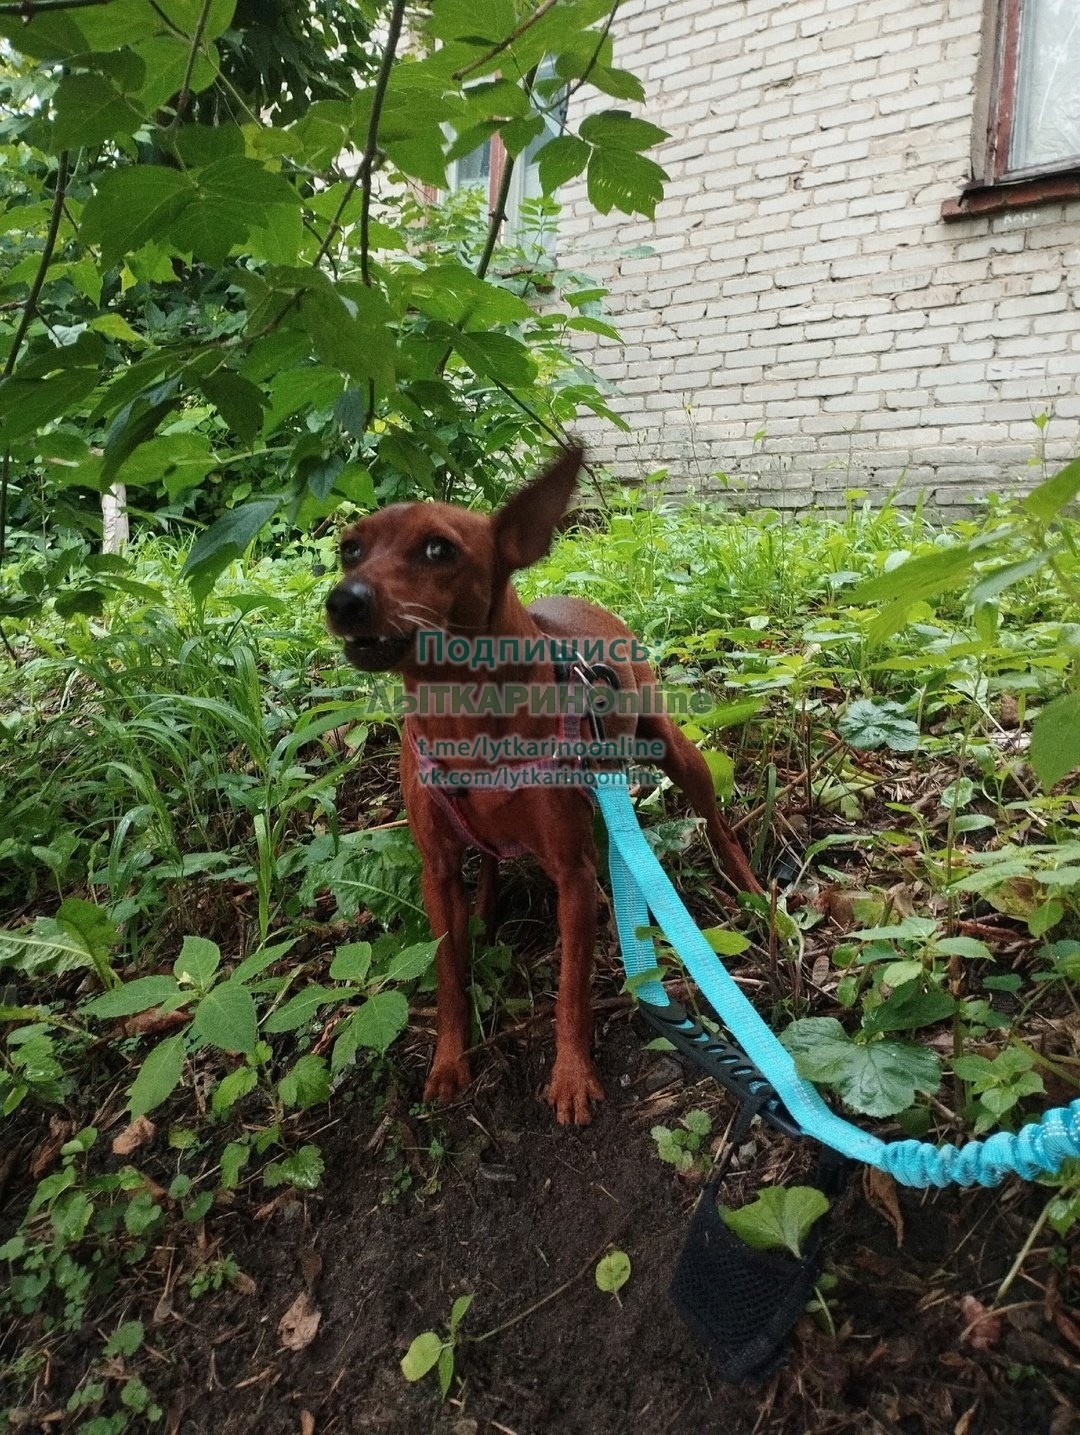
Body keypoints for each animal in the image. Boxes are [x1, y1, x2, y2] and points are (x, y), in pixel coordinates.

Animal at [326, 445, 760, 1124]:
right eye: (349, 549)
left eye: (438, 549)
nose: (343, 601)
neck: (464, 720)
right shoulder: (436, 872)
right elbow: (448, 975)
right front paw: (448, 1062)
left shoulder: (573, 877)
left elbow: (570, 988)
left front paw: (572, 1076)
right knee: (489, 860)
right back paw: (486, 909)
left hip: (672, 746)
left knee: (716, 822)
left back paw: (749, 888)